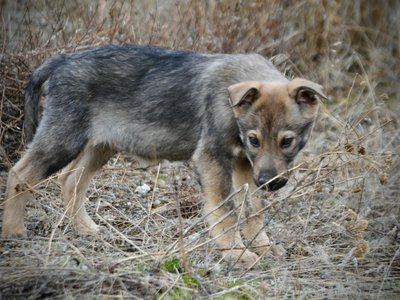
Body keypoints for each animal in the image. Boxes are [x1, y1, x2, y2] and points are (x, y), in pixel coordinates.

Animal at [1, 45, 326, 268]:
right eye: (254, 139)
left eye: (287, 141)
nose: (270, 183)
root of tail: (62, 60)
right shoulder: (213, 158)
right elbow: (226, 211)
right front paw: (238, 254)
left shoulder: (245, 164)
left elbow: (253, 210)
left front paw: (263, 247)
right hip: (63, 138)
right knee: (20, 173)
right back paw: (14, 232)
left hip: (100, 146)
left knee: (70, 181)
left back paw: (87, 229)